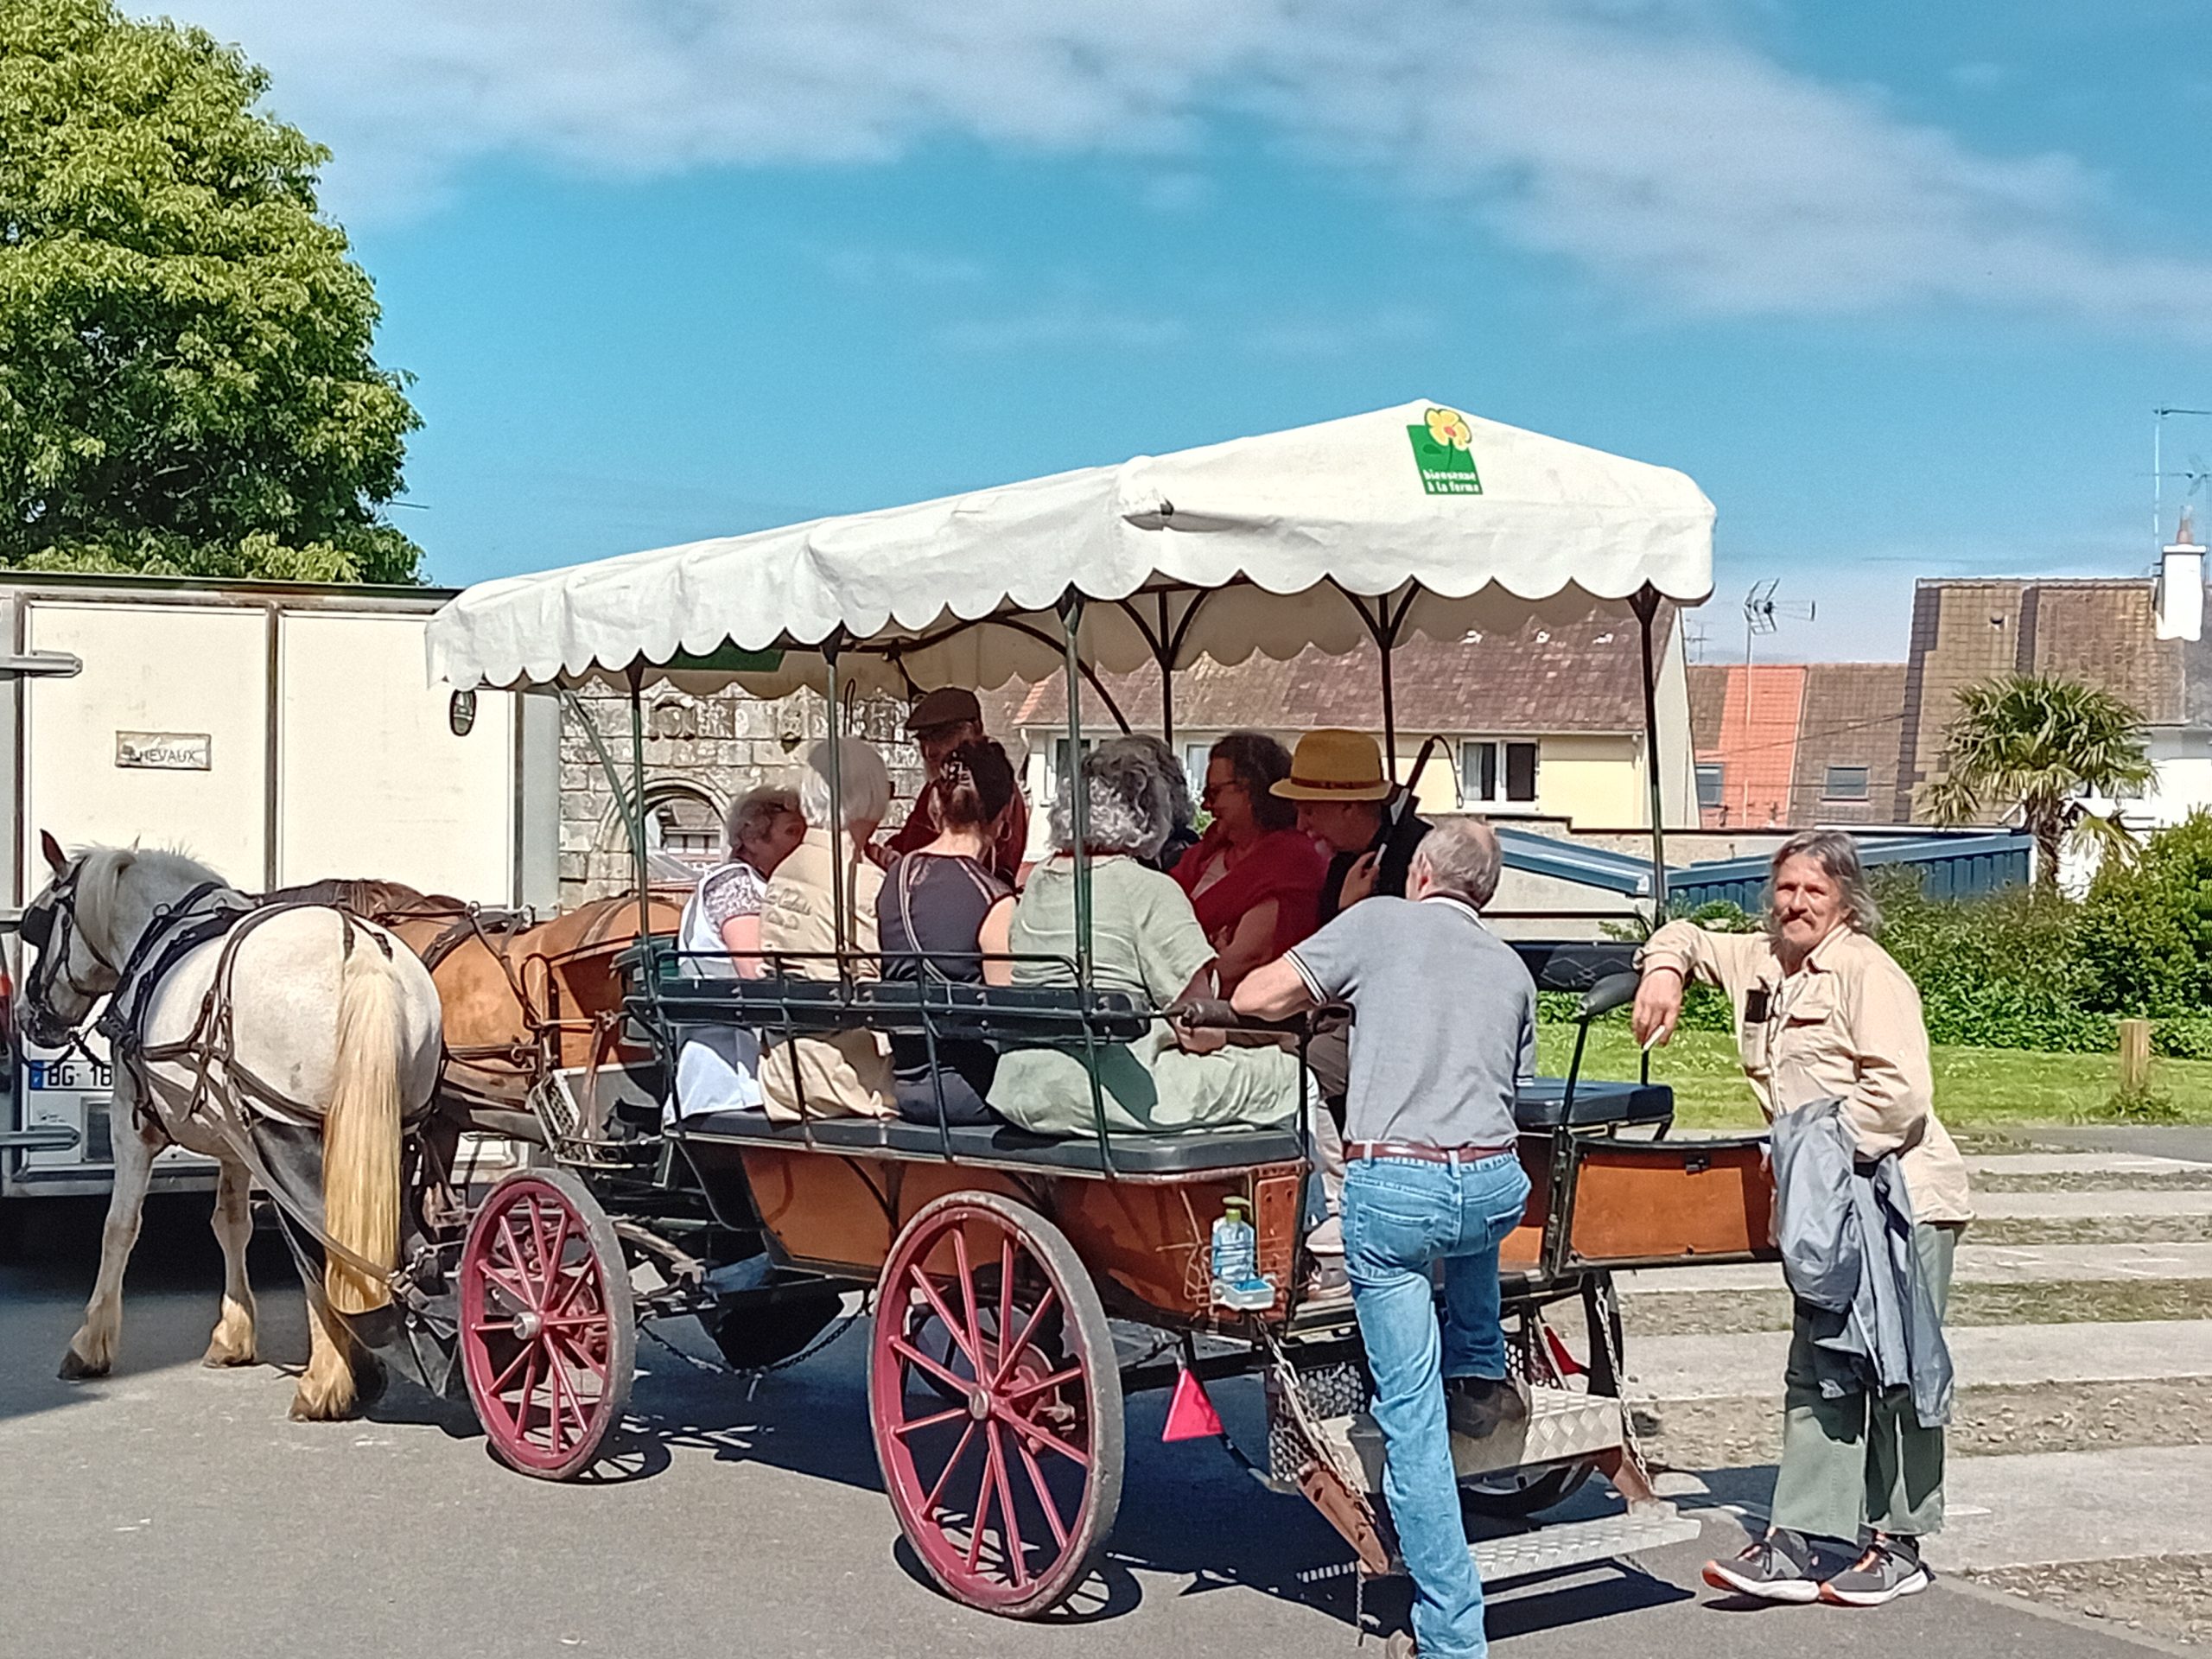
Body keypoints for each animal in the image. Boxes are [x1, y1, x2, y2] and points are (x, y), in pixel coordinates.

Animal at [19, 844, 444, 1433]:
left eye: (39, 926)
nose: (29, 1017)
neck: (163, 934)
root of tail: (360, 948)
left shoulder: (134, 1123)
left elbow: (119, 1228)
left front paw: (90, 1345)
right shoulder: (237, 1142)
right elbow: (231, 1224)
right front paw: (234, 1335)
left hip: (294, 1138)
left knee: (318, 1241)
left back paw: (325, 1382)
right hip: (385, 1140)